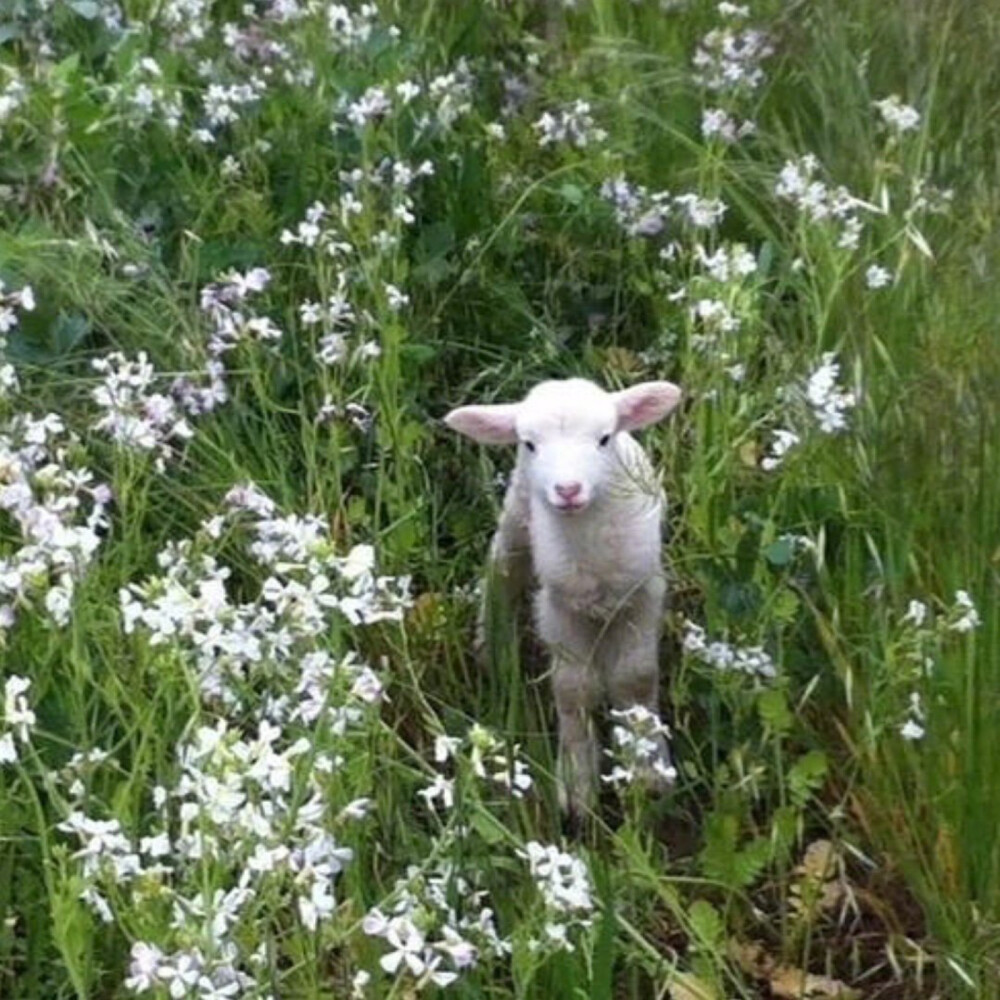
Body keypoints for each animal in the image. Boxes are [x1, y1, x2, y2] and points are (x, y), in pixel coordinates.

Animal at [444, 376, 684, 820]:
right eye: (529, 443)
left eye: (604, 438)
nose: (568, 490)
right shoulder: (557, 607)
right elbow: (573, 690)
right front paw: (577, 781)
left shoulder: (643, 595)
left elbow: (636, 678)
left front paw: (648, 768)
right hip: (520, 514)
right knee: (502, 568)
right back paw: (492, 645)